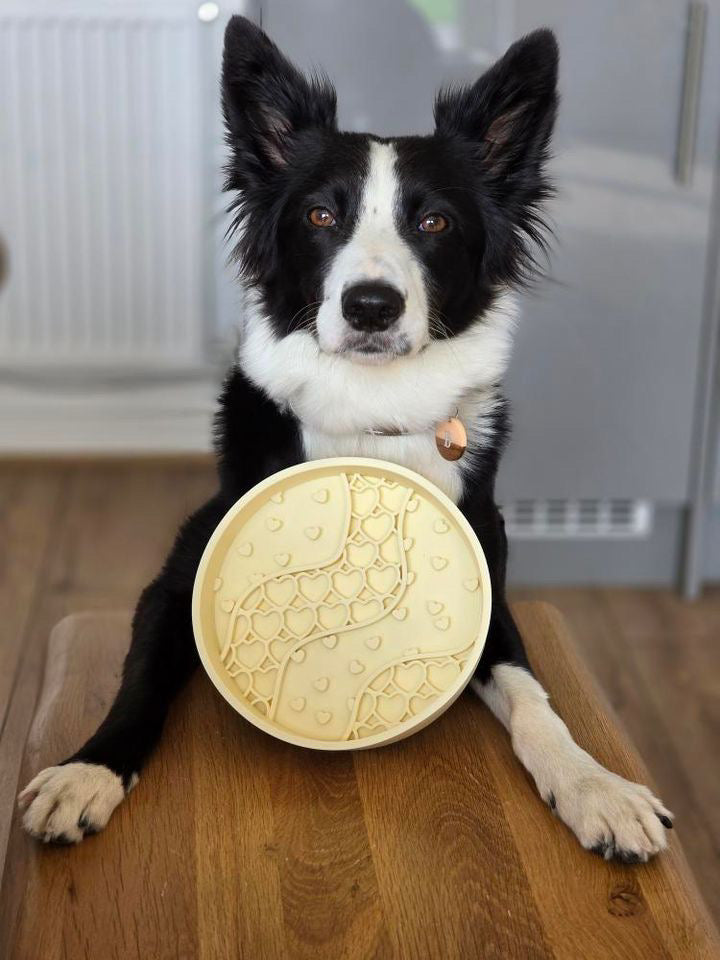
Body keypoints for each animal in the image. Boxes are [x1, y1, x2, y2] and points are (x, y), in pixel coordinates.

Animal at [19, 15, 672, 860]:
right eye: (321, 217)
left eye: (434, 221)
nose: (370, 306)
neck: (372, 415)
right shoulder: (180, 575)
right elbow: (139, 681)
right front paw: (87, 770)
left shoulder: (488, 589)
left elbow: (534, 695)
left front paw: (594, 785)